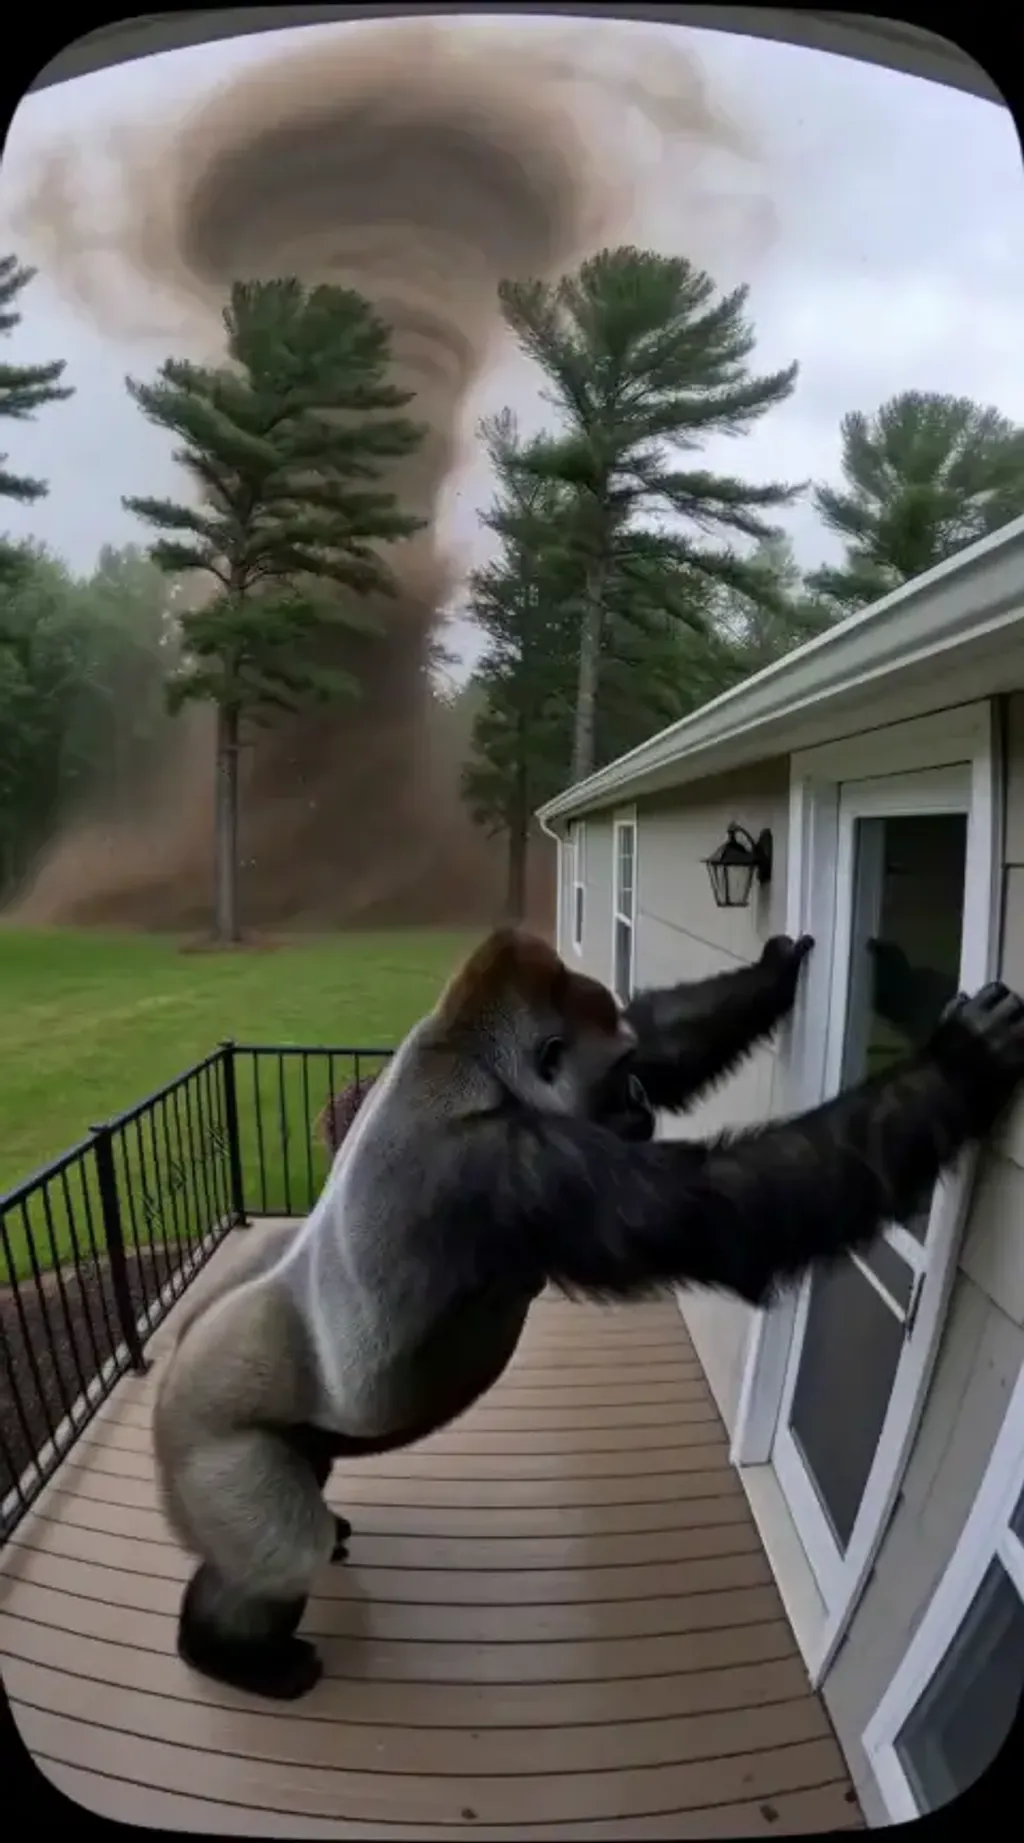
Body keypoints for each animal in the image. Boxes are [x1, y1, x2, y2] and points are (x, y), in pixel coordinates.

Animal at [153, 927, 1024, 1704]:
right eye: (620, 1073)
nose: (638, 1100)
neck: (472, 1067)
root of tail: (173, 1373)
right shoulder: (514, 1164)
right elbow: (735, 1211)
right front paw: (958, 1064)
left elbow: (669, 1036)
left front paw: (777, 971)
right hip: (211, 1437)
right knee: (280, 1553)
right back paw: (226, 1650)